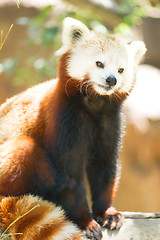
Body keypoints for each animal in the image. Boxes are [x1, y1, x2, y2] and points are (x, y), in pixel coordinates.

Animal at [0, 17, 146, 240]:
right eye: (99, 63)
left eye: (121, 70)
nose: (111, 80)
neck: (95, 105)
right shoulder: (64, 121)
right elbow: (70, 176)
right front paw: (86, 222)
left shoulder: (110, 122)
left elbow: (105, 167)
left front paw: (107, 213)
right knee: (24, 149)